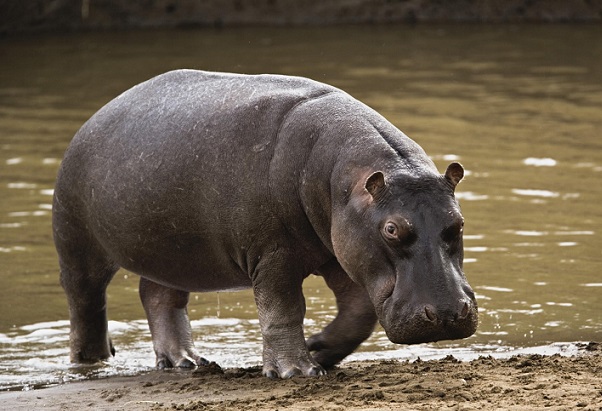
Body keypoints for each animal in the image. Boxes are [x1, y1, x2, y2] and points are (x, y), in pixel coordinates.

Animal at [52, 70, 474, 380]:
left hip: (170, 251)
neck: (344, 180)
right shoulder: (273, 254)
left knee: (159, 296)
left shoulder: (340, 251)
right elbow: (283, 309)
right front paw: (297, 372)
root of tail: (95, 117)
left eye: (458, 222)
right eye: (391, 229)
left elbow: (359, 312)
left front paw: (320, 349)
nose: (448, 315)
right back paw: (90, 363)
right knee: (85, 304)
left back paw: (185, 362)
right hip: (77, 243)